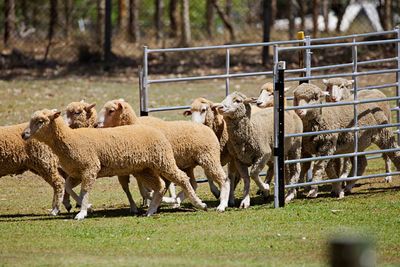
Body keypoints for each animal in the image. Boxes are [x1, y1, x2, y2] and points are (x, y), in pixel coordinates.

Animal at [22, 110, 208, 221]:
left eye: (40, 121)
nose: (24, 134)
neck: (70, 139)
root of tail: (158, 131)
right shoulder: (77, 172)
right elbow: (69, 187)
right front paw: (85, 206)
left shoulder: (90, 168)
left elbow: (85, 190)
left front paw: (82, 212)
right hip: (144, 169)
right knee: (160, 186)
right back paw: (151, 210)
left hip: (163, 161)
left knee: (182, 178)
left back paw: (199, 204)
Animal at [95, 99, 230, 213]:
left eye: (111, 110)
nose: (96, 125)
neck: (135, 124)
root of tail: (206, 128)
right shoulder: (142, 169)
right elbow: (147, 191)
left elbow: (154, 189)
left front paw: (160, 201)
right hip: (189, 164)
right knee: (192, 183)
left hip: (208, 157)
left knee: (223, 178)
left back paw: (221, 204)